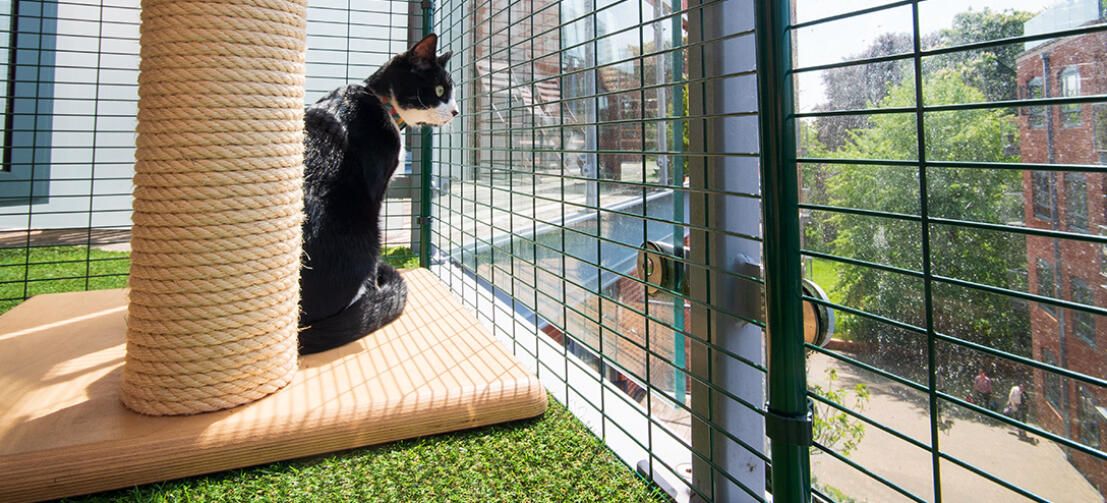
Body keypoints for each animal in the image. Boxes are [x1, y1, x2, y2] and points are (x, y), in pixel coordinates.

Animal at [296, 33, 456, 354]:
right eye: (440, 89)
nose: (456, 111)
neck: (382, 103)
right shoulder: (376, 187)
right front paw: (377, 292)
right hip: (365, 228)